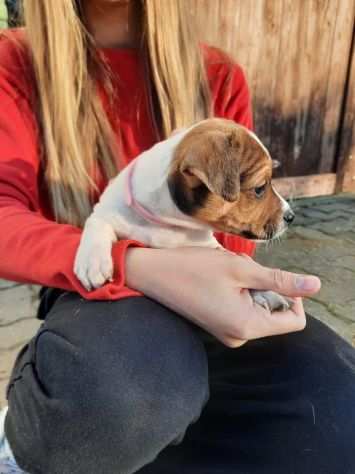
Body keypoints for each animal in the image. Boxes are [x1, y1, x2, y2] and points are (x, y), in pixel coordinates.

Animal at [74, 117, 294, 312]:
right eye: (260, 188)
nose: (291, 216)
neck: (169, 222)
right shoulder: (105, 210)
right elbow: (97, 224)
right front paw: (91, 262)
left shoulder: (211, 247)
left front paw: (266, 292)